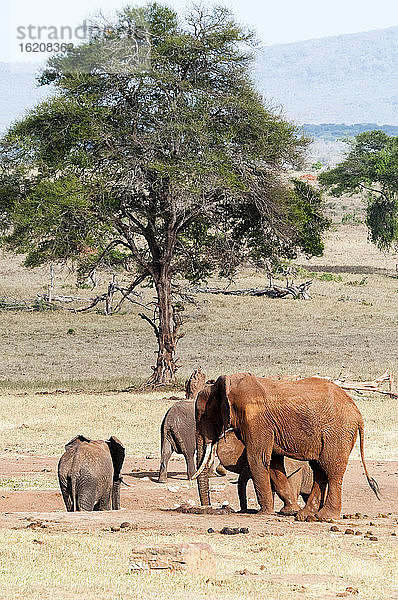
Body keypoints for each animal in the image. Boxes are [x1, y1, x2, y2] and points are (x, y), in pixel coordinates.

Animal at [193, 376, 380, 520]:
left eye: (204, 416)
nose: (208, 508)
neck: (228, 386)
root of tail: (357, 413)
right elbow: (274, 463)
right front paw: (289, 511)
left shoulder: (256, 420)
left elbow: (257, 459)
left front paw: (264, 513)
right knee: (319, 469)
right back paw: (305, 515)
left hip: (338, 432)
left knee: (331, 469)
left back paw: (325, 516)